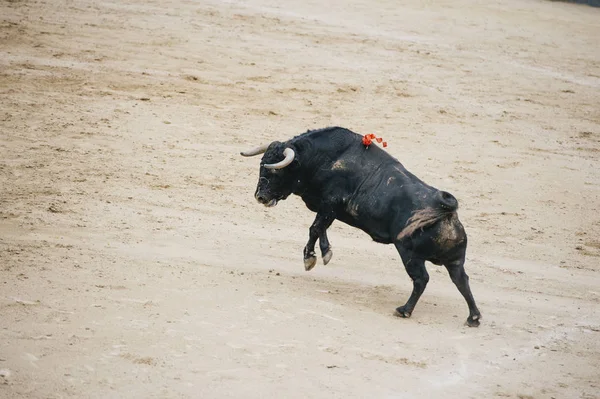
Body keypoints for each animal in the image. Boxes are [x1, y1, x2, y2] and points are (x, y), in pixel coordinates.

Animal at [241, 128, 480, 328]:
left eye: (276, 172)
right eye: (261, 164)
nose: (260, 197)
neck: (322, 158)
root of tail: (446, 211)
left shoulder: (330, 204)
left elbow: (314, 228)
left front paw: (309, 258)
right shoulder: (328, 209)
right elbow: (321, 228)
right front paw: (326, 252)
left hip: (409, 254)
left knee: (422, 279)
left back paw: (404, 310)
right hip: (454, 261)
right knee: (462, 280)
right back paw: (473, 318)